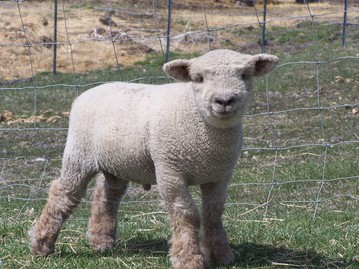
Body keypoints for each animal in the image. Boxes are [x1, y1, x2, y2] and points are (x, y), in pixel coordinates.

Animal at [29, 48, 280, 268]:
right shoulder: (170, 170)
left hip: (117, 163)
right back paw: (41, 244)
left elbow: (214, 213)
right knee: (63, 193)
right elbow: (186, 215)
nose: (225, 101)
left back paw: (102, 241)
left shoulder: (219, 176)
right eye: (198, 78)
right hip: (79, 155)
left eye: (245, 75)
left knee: (106, 195)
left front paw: (221, 255)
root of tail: (88, 93)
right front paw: (188, 259)